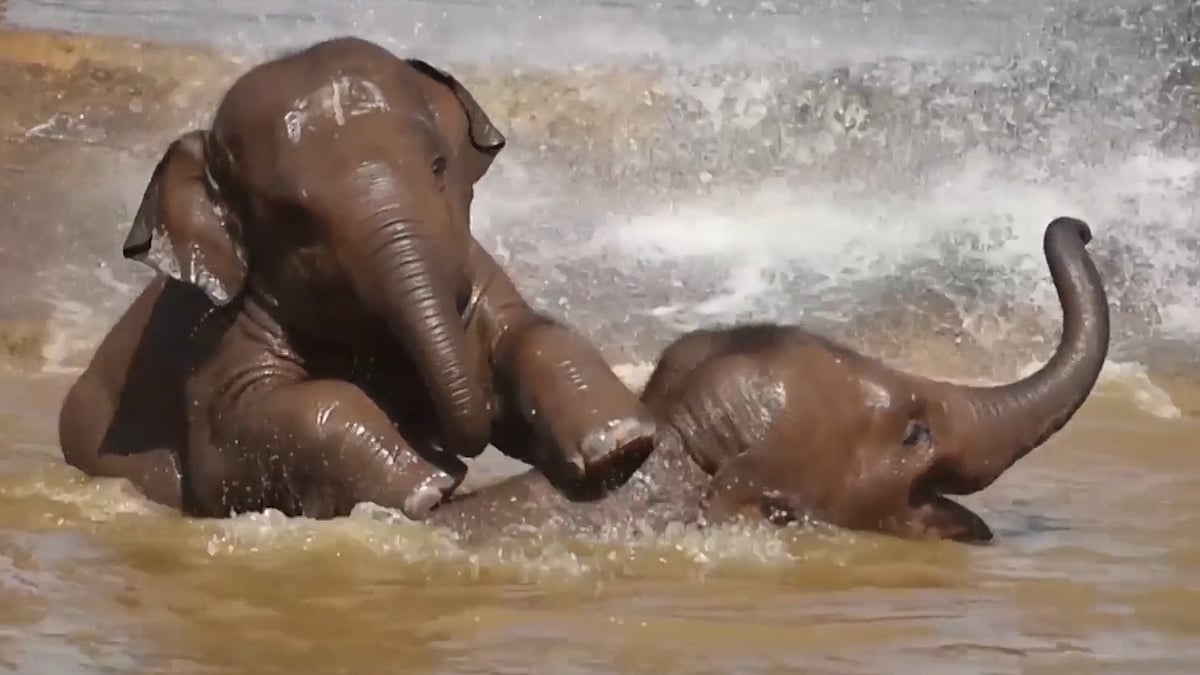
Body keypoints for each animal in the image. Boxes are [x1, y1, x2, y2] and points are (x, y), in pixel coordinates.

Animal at [56, 36, 657, 521]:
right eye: (292, 217)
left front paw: (621, 446)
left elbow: (526, 335)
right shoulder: (217, 335)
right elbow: (240, 433)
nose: (452, 451)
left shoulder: (476, 267)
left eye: (438, 167)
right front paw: (430, 487)